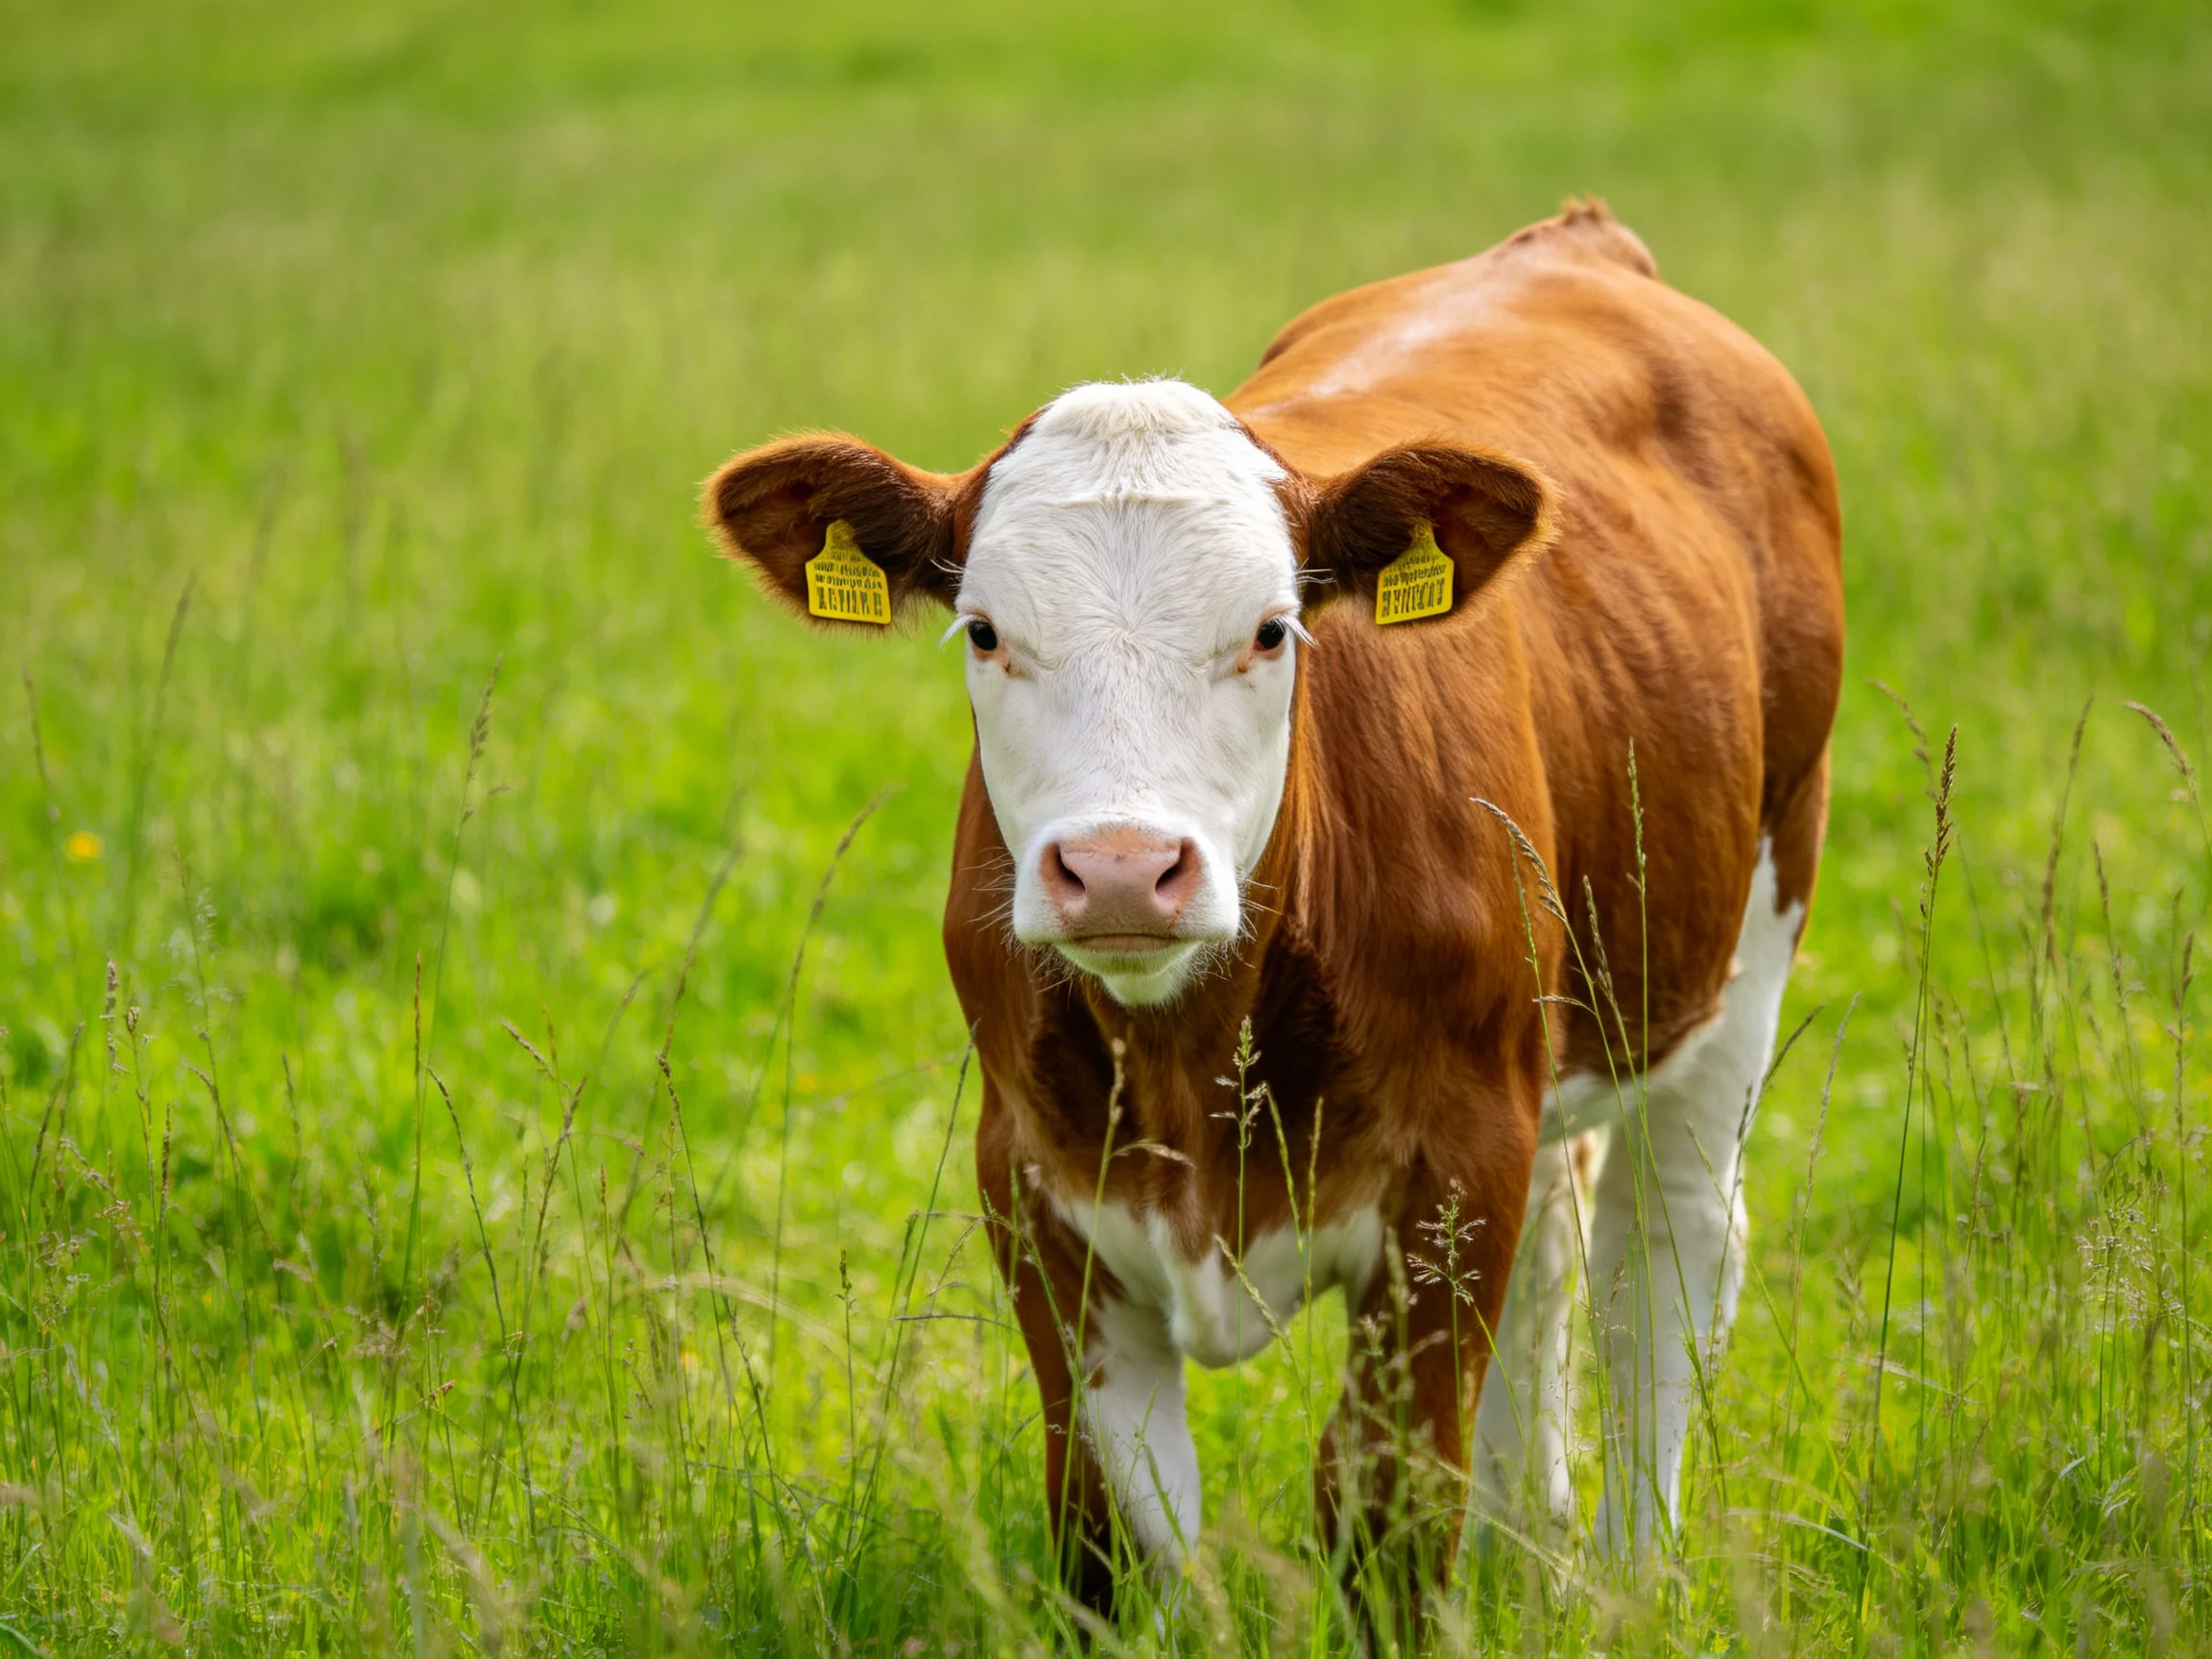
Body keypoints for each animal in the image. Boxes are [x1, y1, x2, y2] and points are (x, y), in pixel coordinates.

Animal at [702, 201, 1843, 1613]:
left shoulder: (1454, 1170)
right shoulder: (1032, 1183)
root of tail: (1573, 243)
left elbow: (1388, 1511)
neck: (1193, 1054)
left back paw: (1631, 1573)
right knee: (1562, 1254)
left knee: (1666, 1259)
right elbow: (1116, 1526)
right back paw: (1534, 1534)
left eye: (1271, 630)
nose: (1122, 866)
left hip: (1752, 920)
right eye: (982, 631)